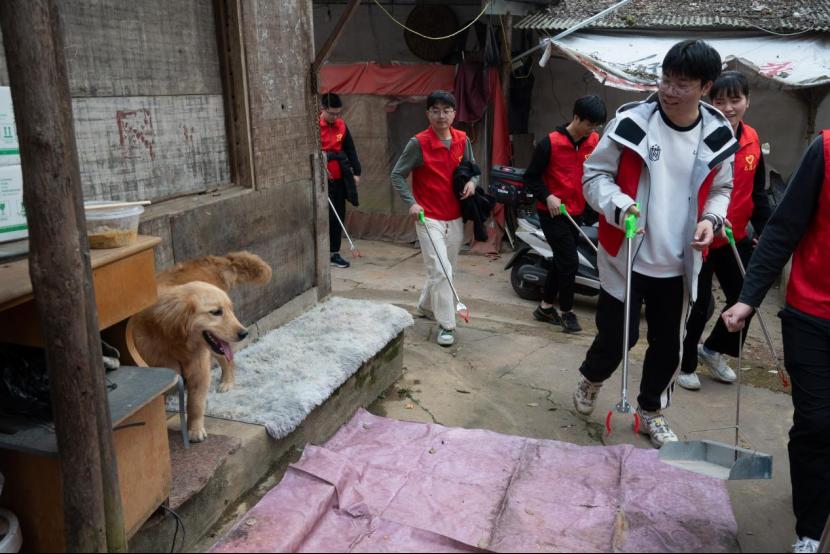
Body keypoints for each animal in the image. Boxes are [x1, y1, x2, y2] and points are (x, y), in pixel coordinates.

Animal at [131, 281, 248, 442]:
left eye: (230, 309)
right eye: (216, 312)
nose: (244, 333)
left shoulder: (199, 371)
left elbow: (195, 405)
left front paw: (195, 430)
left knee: (227, 360)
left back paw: (227, 382)